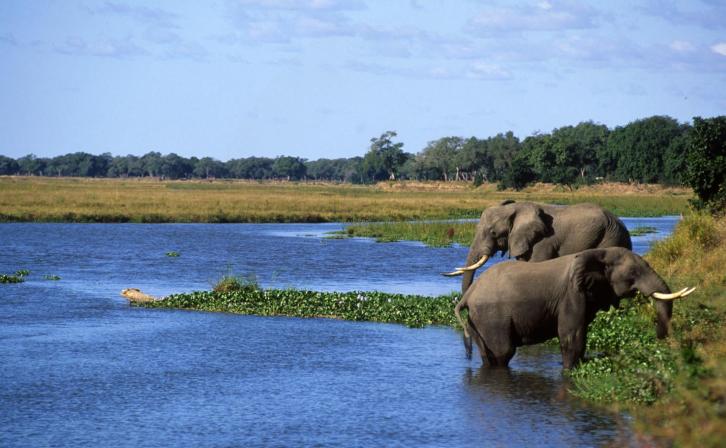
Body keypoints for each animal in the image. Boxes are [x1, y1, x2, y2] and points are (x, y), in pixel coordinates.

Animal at [454, 247, 695, 369]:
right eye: (633, 273)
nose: (660, 339)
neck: (599, 253)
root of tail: (468, 295)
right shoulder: (571, 294)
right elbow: (572, 335)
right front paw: (569, 373)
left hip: (477, 320)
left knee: (489, 354)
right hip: (491, 316)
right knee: (503, 352)